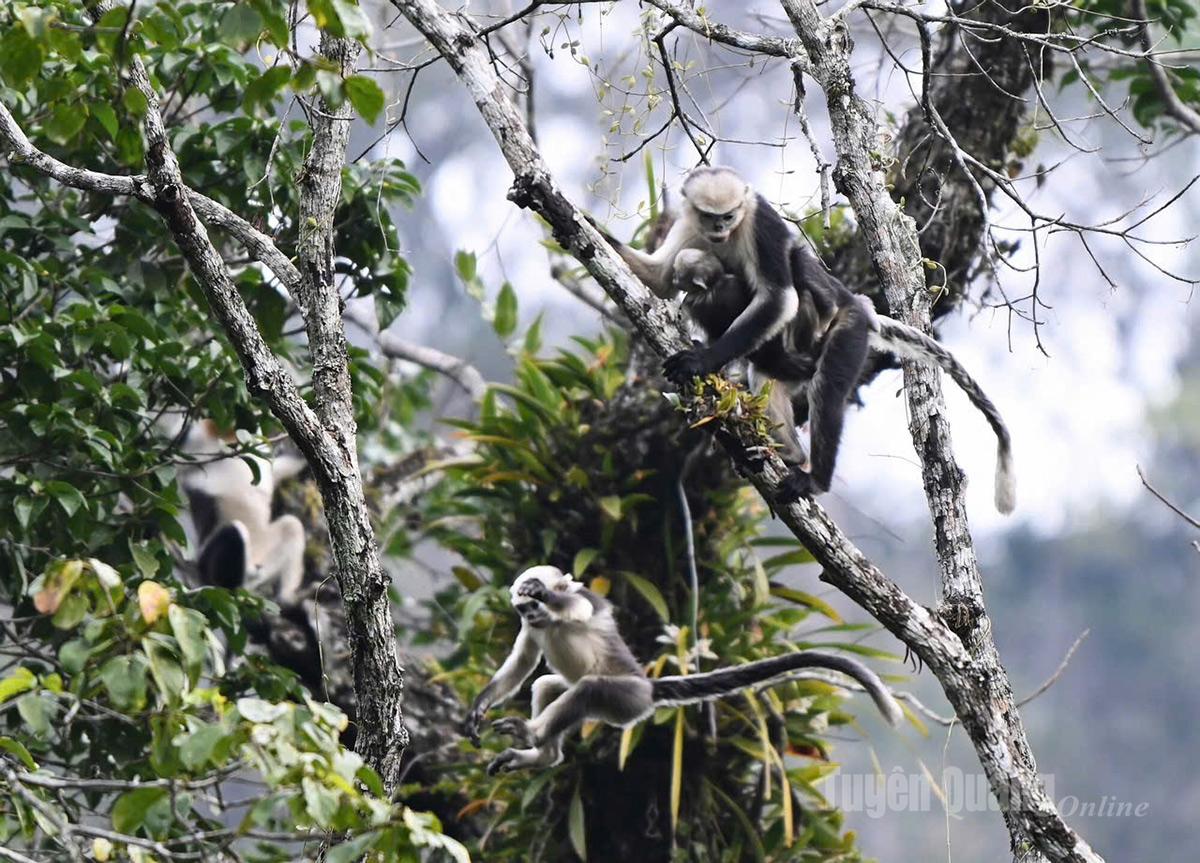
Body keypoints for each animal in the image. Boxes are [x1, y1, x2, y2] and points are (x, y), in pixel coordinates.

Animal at [464, 565, 903, 775]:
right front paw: (479, 707)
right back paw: (543, 753)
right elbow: (521, 665)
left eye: (535, 602)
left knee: (589, 689)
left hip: (627, 700)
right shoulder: (530, 629)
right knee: (548, 686)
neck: (548, 623)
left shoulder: (582, 601)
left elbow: (580, 606)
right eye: (523, 609)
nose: (532, 610)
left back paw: (532, 735)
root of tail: (648, 686)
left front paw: (550, 594)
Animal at [599, 166, 1015, 514]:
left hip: (846, 329)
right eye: (710, 217)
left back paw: (814, 477)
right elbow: (659, 278)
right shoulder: (689, 223)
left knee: (824, 383)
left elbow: (779, 298)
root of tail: (859, 307)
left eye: (728, 216)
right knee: (765, 373)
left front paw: (700, 362)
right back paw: (791, 454)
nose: (718, 230)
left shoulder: (760, 222)